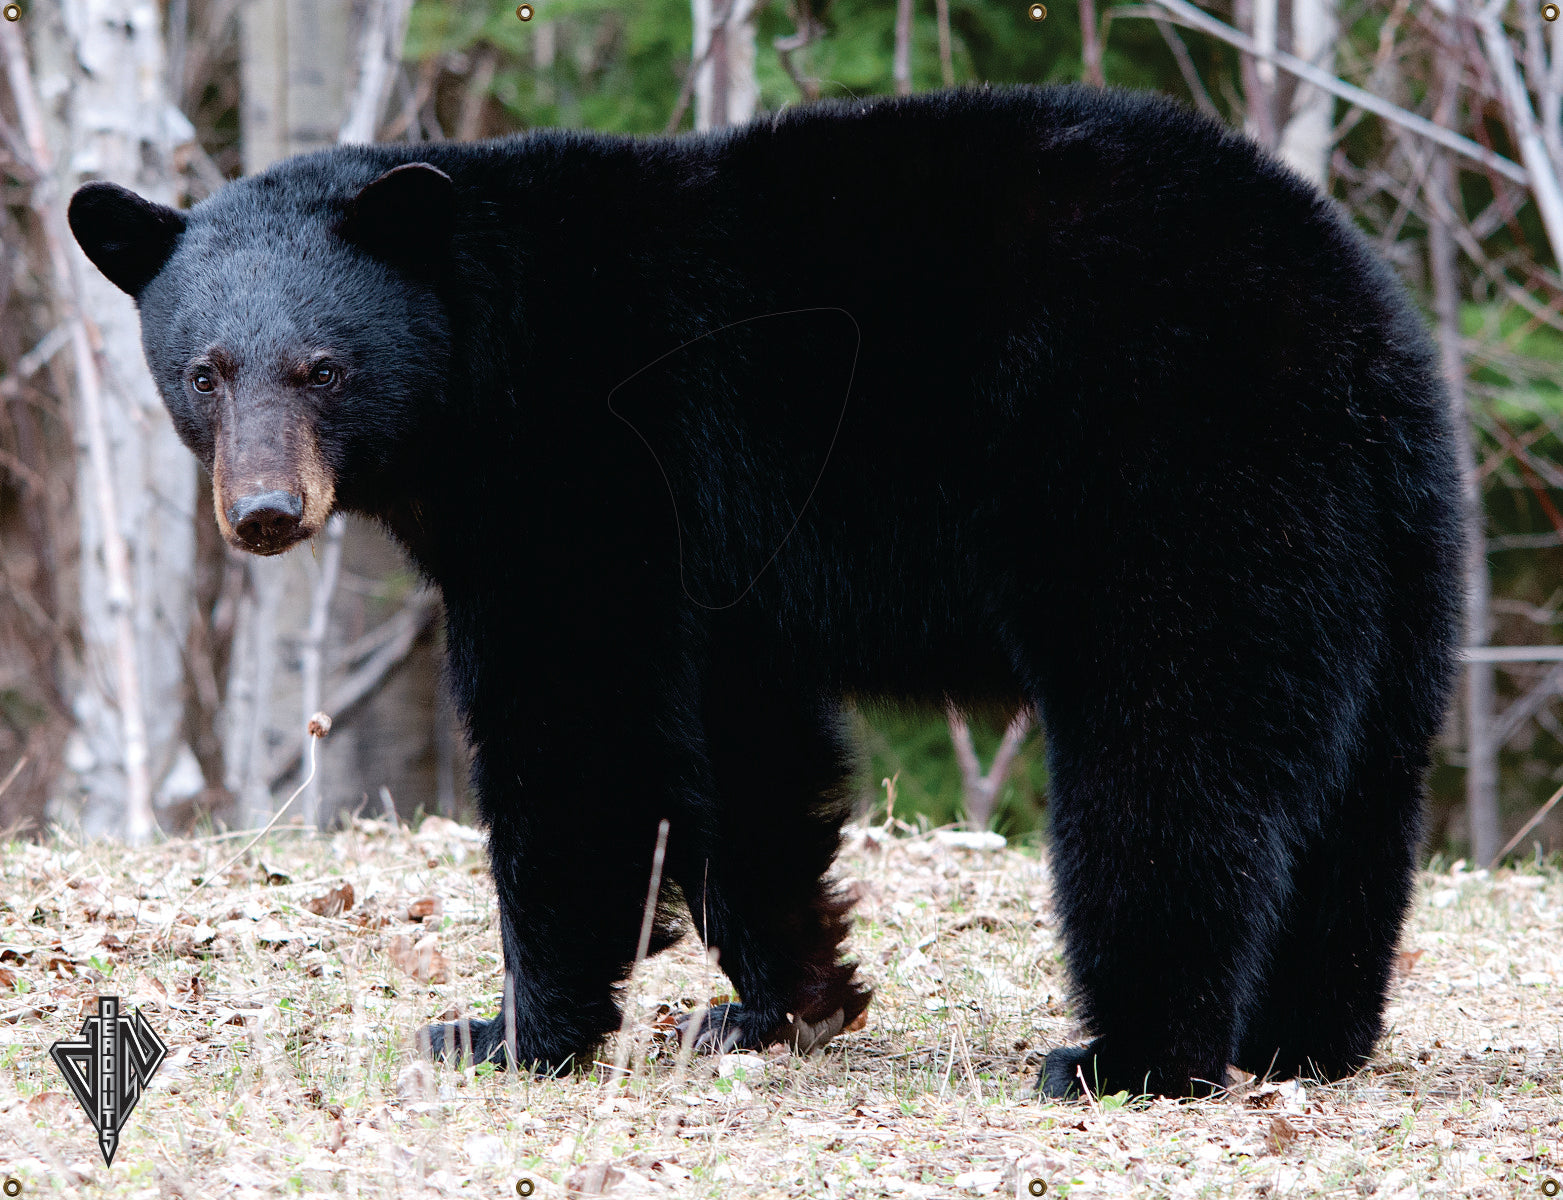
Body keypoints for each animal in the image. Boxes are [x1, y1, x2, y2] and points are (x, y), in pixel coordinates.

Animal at [67, 82, 1456, 1100]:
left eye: (324, 367)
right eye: (203, 371)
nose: (265, 512)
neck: (485, 353)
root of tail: (1350, 327)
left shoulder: (596, 469)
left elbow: (577, 729)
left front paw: (511, 1031)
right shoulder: (721, 562)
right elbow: (747, 754)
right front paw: (777, 1005)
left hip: (1170, 480)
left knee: (1172, 756)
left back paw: (1128, 1055)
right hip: (1392, 551)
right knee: (1361, 787)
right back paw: (1305, 1039)